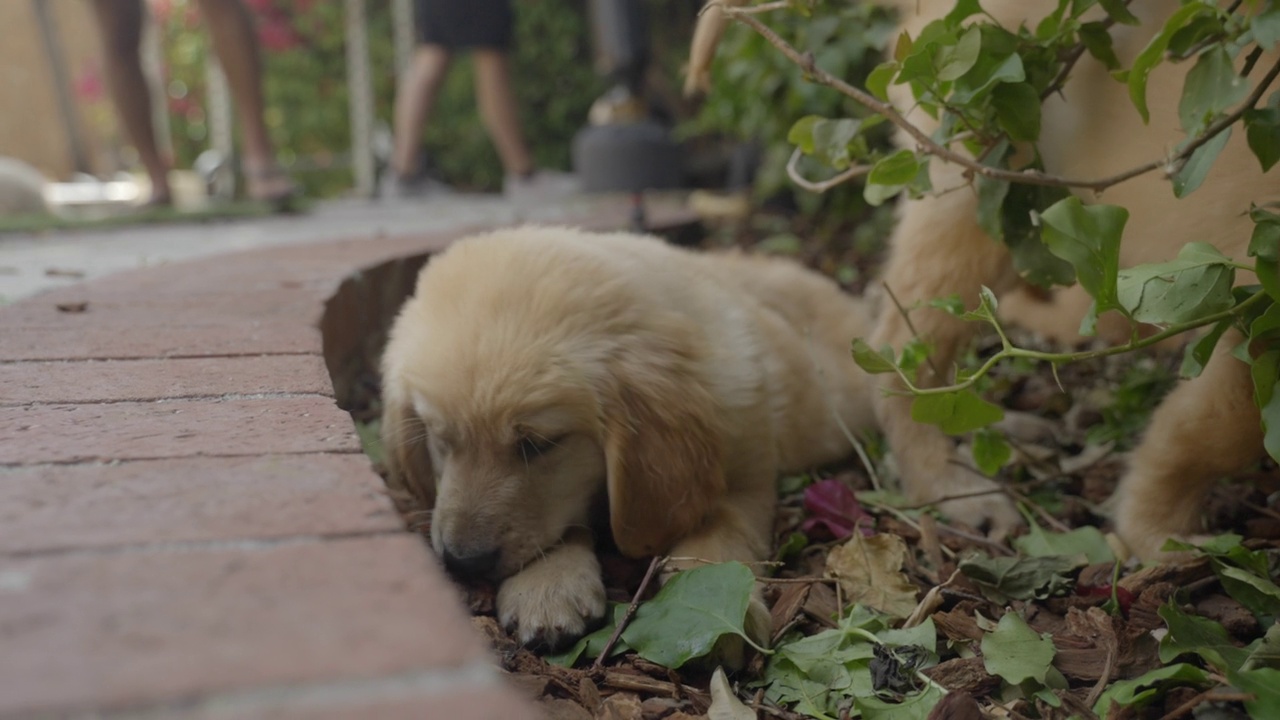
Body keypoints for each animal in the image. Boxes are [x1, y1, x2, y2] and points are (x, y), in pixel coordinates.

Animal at [378, 226, 875, 648]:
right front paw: (548, 584)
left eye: (538, 444)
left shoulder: (746, 473)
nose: (463, 562)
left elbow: (720, 535)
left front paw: (725, 617)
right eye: (440, 438)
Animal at [691, 1, 1280, 561]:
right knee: (903, 356)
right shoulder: (1252, 302)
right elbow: (1225, 428)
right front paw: (1159, 534)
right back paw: (950, 486)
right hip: (982, 185)